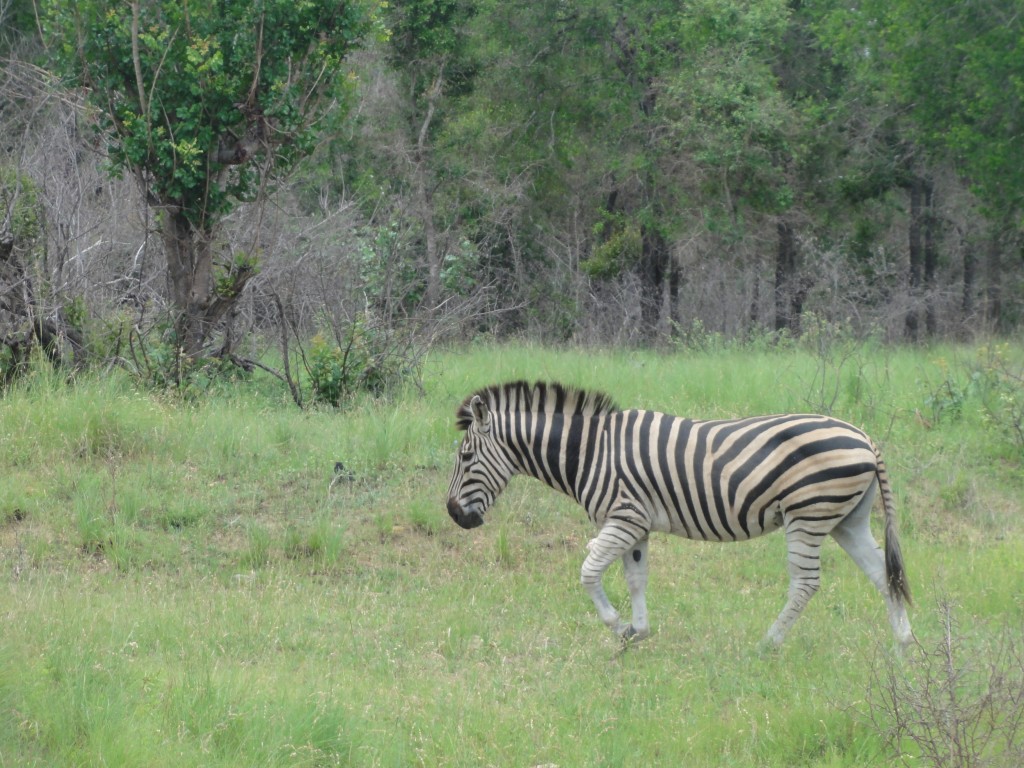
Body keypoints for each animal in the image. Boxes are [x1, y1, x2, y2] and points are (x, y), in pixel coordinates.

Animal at [446, 380, 913, 648]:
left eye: (466, 458)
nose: (453, 515)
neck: (589, 451)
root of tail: (865, 437)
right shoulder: (636, 526)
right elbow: (635, 578)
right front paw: (638, 632)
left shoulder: (623, 517)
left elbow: (588, 571)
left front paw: (617, 626)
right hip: (847, 520)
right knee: (883, 575)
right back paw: (904, 644)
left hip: (808, 515)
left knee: (806, 583)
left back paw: (769, 642)